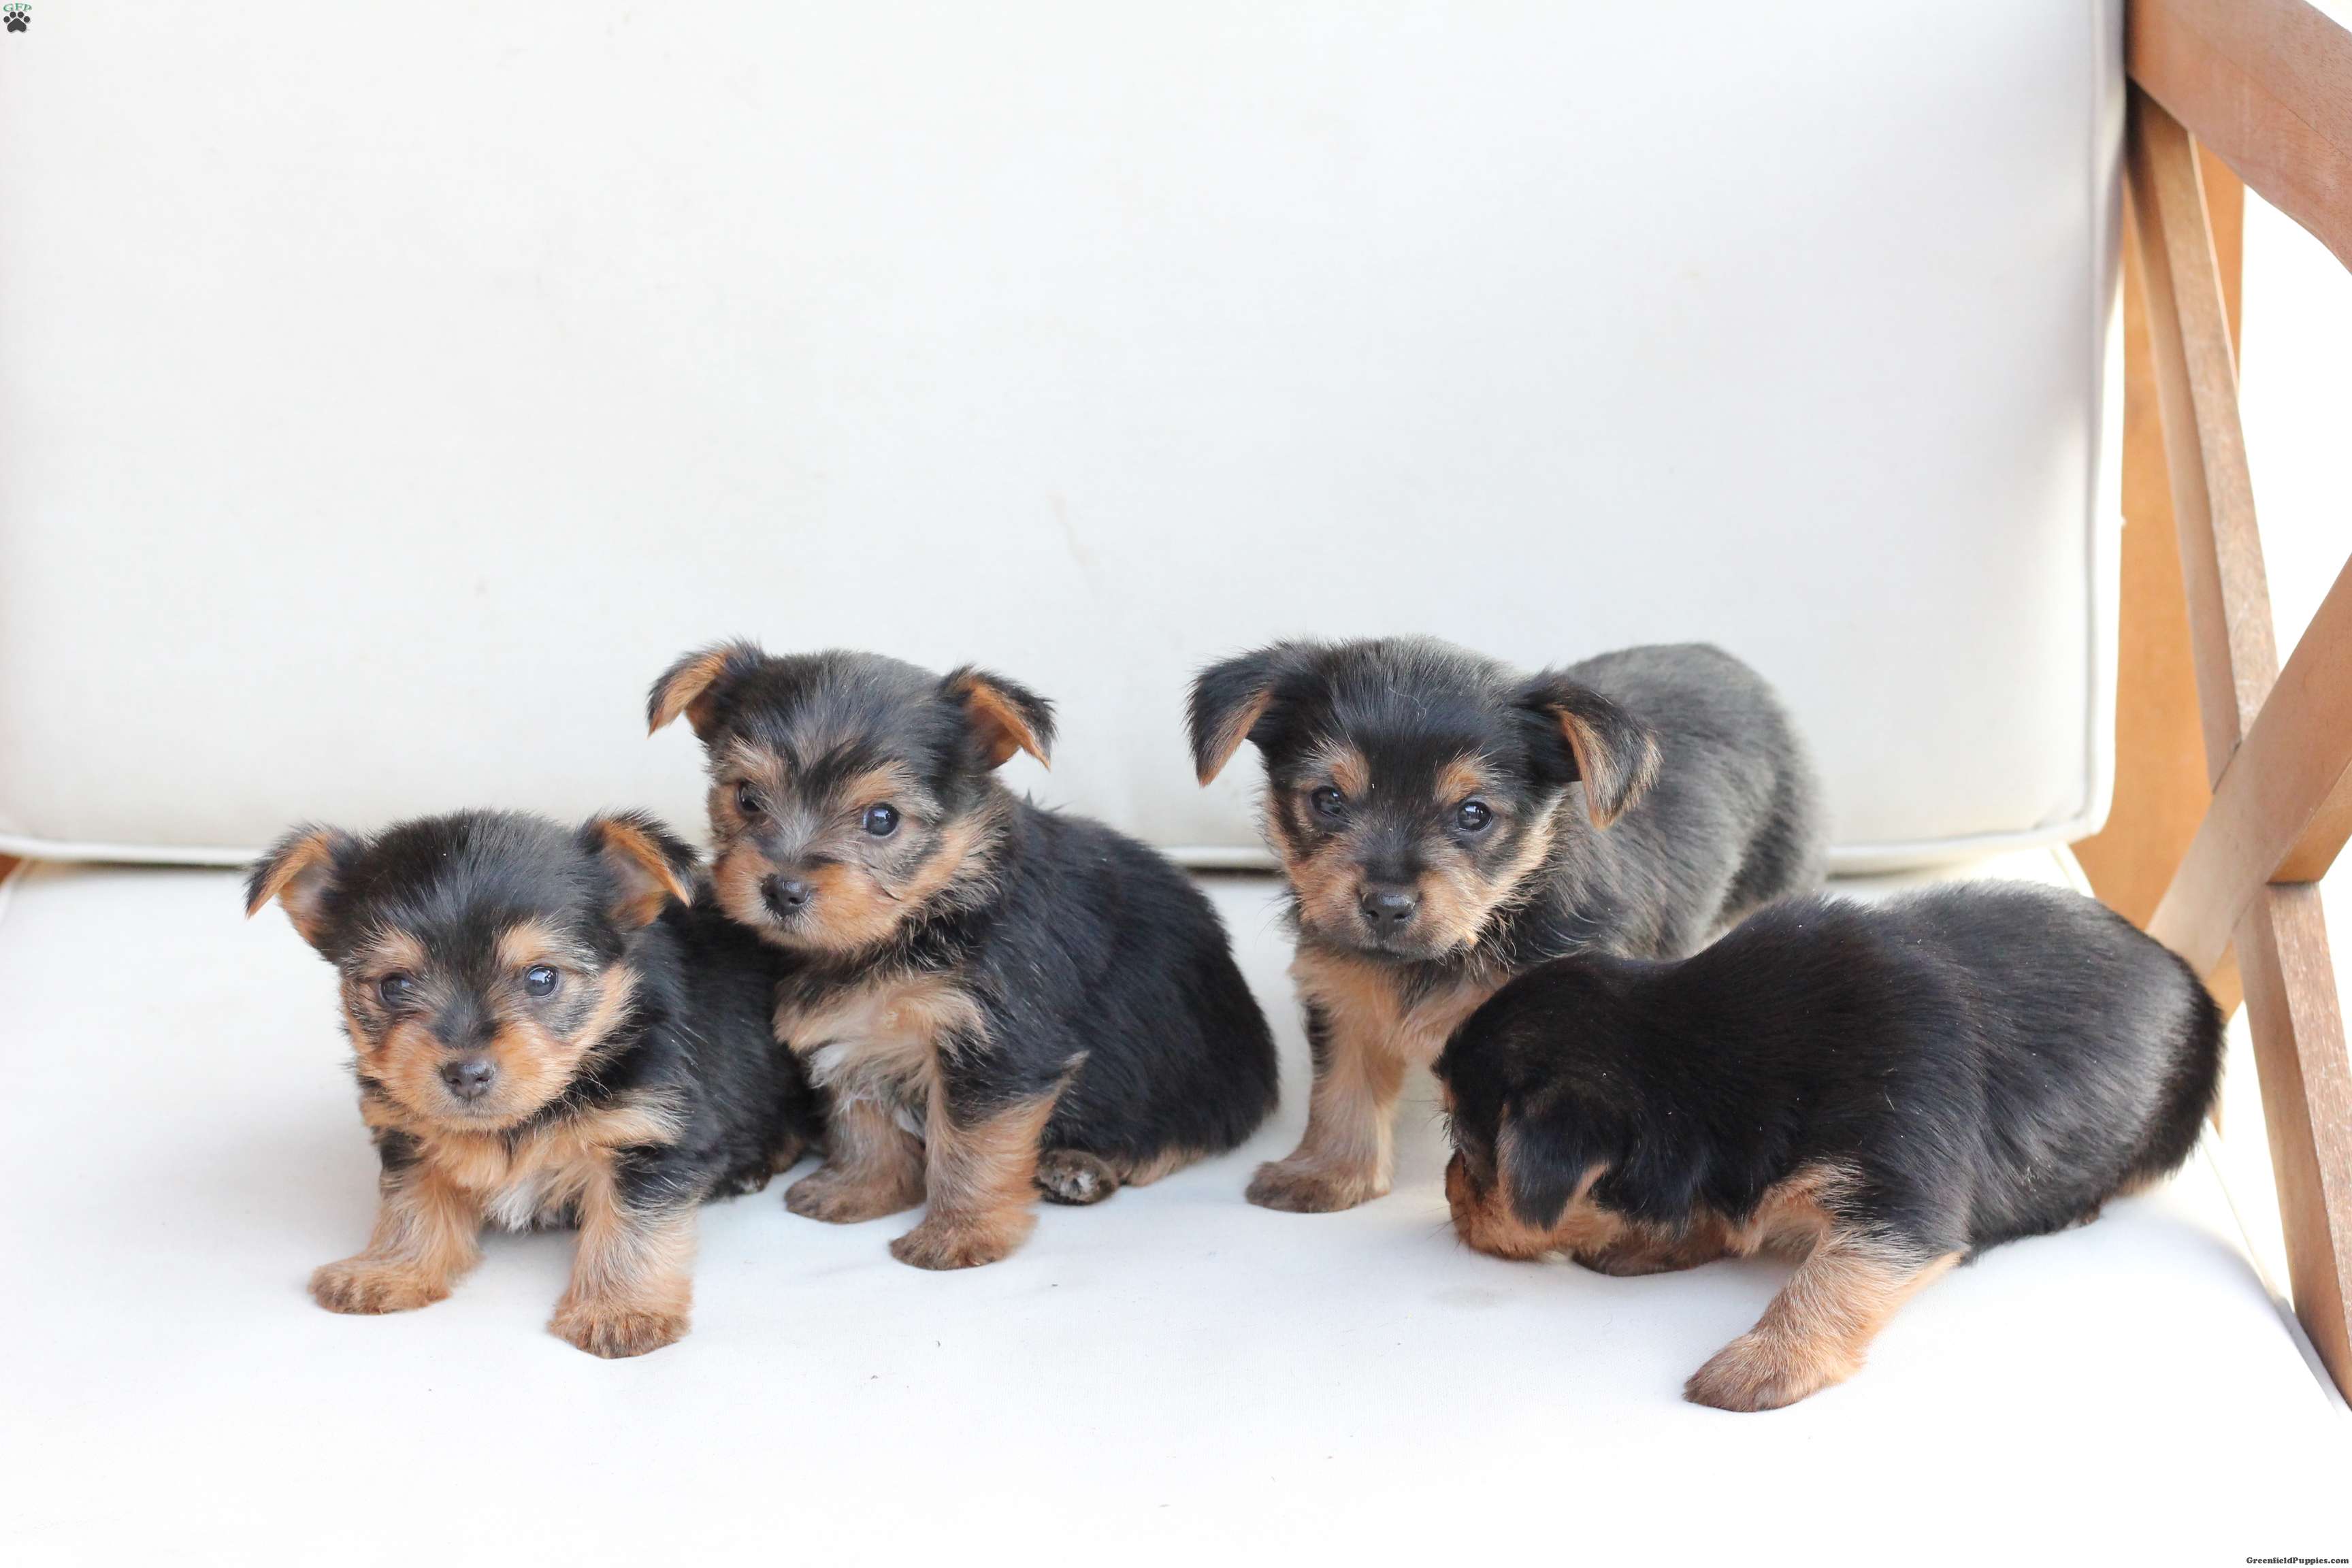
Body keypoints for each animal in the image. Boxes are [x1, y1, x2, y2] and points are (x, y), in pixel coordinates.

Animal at [247, 809, 818, 1358]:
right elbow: (409, 1202)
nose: (467, 1072)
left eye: (542, 979)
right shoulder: (410, 1132)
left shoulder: (651, 1131)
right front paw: (390, 1269)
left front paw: (620, 1311)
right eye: (394, 986)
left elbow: (633, 1229)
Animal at [648, 642, 1279, 1270]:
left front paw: (959, 1236)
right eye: (747, 798)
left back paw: (1082, 1166)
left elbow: (973, 1148)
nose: (783, 889)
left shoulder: (997, 1047)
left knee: (1187, 1130)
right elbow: (863, 1118)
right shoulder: (851, 1033)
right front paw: (861, 1189)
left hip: (1194, 1071)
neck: (920, 917)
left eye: (882, 819)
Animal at [1188, 637, 1823, 1212]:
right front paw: (1329, 1173)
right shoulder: (1341, 993)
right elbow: (1343, 1089)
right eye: (1328, 800)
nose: (1387, 904)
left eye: (1474, 814)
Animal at [1436, 881, 2225, 1411]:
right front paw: (1650, 1244)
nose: (1446, 1189)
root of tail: (2190, 975)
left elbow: (1833, 1278)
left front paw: (1761, 1364)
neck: (1703, 1061)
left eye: (1467, 1148)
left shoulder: (1900, 1198)